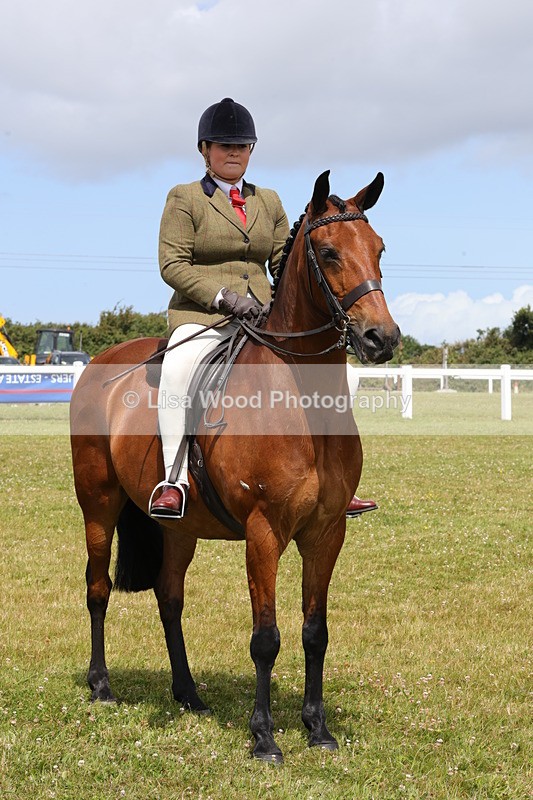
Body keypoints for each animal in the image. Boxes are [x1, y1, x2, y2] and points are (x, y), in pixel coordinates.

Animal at [70, 170, 400, 763]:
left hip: (177, 527)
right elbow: (265, 638)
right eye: (329, 252)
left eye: (380, 248)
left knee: (169, 597)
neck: (302, 402)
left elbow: (315, 631)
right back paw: (101, 685)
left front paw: (317, 729)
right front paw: (264, 737)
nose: (380, 339)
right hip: (98, 505)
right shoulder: (264, 531)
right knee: (98, 588)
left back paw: (188, 693)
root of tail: (100, 363)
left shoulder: (327, 531)